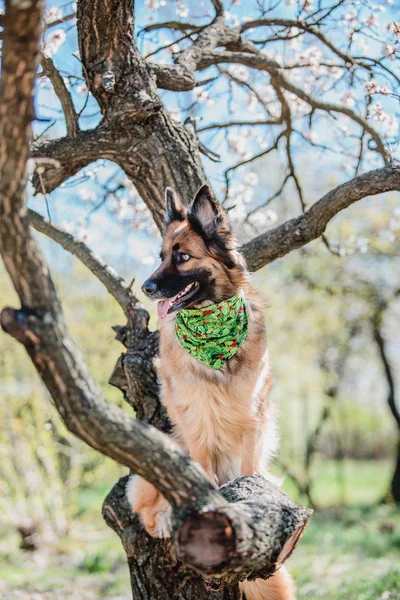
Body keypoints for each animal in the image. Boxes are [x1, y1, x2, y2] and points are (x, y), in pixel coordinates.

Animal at [126, 185, 296, 596]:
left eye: (182, 257)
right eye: (160, 256)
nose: (146, 288)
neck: (211, 330)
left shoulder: (253, 420)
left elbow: (250, 471)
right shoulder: (196, 422)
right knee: (145, 507)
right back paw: (164, 517)